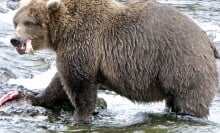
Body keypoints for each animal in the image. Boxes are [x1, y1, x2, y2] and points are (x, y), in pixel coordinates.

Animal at [10, 0, 220, 123]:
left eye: (30, 22)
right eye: (16, 21)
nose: (15, 40)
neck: (62, 32)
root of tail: (208, 40)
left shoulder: (83, 41)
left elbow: (78, 83)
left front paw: (79, 117)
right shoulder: (73, 50)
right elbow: (60, 81)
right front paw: (34, 96)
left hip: (182, 63)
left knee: (190, 100)